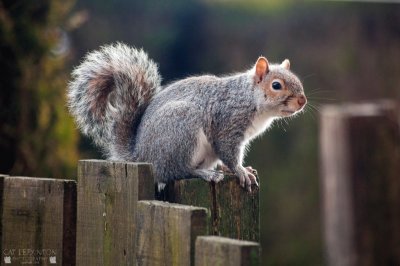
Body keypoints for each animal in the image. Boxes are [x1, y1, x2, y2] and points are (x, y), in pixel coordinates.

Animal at [68, 43, 306, 191]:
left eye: (297, 80)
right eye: (276, 85)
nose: (302, 101)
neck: (249, 98)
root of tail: (140, 157)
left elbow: (227, 157)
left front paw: (240, 169)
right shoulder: (227, 125)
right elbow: (228, 152)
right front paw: (240, 172)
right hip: (183, 131)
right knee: (176, 170)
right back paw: (205, 174)